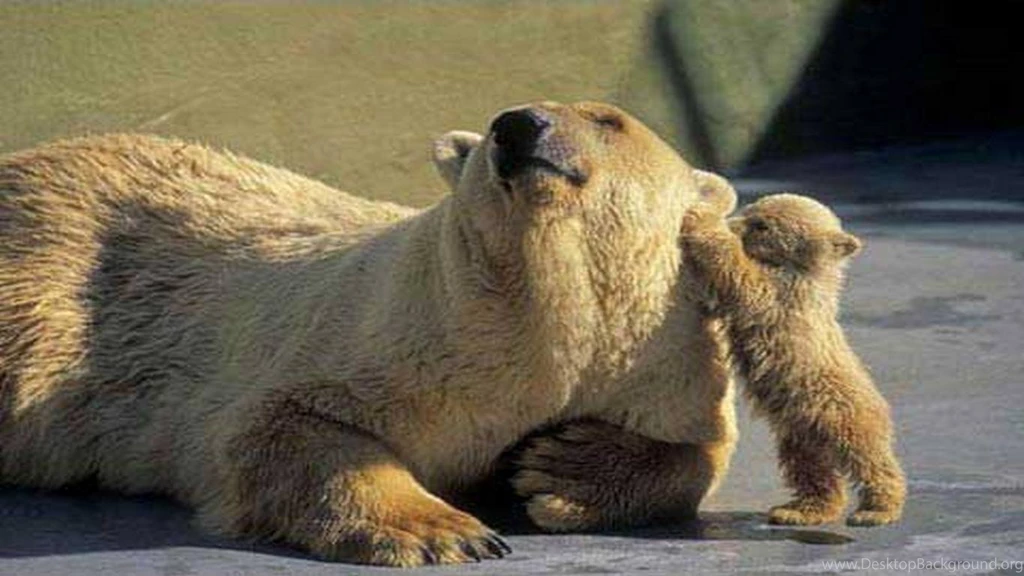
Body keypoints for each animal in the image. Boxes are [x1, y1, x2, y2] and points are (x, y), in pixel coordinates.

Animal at [0, 101, 740, 566]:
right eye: (499, 119)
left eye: (608, 120)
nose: (517, 126)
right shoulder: (397, 332)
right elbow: (283, 424)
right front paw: (443, 531)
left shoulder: (661, 354)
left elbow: (699, 452)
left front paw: (561, 467)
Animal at [678, 193, 907, 527]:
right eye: (750, 210)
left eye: (761, 225)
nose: (734, 223)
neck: (806, 271)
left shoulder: (784, 294)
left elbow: (745, 280)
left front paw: (702, 220)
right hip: (800, 430)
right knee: (810, 468)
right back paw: (798, 510)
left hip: (839, 409)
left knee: (867, 456)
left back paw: (876, 510)